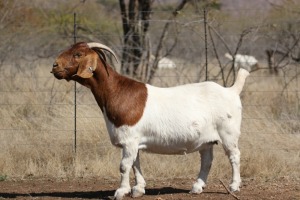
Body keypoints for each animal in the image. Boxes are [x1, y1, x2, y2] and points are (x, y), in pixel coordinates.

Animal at [52, 42, 251, 200]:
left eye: (78, 54)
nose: (54, 66)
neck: (117, 92)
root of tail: (231, 90)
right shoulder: (133, 142)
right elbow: (135, 164)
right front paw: (138, 189)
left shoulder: (129, 140)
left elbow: (124, 166)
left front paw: (120, 192)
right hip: (206, 139)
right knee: (207, 160)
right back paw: (196, 187)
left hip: (228, 133)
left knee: (234, 155)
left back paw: (234, 186)